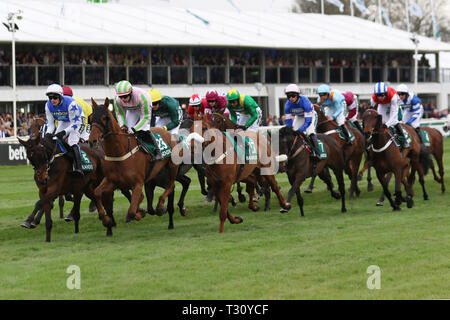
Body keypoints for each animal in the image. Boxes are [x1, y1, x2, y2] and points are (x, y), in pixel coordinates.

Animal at [88, 97, 179, 232]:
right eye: (91, 118)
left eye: (105, 118)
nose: (92, 141)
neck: (120, 152)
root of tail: (166, 131)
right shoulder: (112, 181)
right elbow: (97, 192)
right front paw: (105, 219)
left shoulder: (137, 183)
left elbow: (131, 211)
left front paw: (140, 213)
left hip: (172, 166)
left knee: (171, 185)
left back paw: (160, 206)